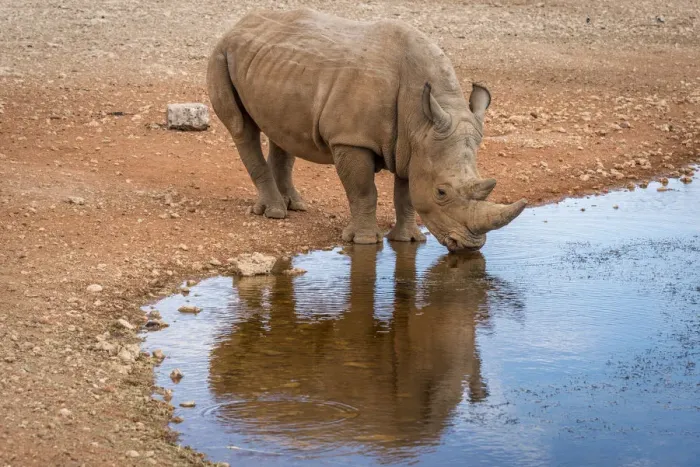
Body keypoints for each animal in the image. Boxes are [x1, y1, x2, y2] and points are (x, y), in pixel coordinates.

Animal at [207, 8, 527, 251]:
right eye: (441, 192)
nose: (470, 246)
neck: (420, 120)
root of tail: (236, 25)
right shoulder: (352, 140)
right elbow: (363, 191)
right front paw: (364, 242)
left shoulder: (412, 145)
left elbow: (405, 195)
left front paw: (409, 240)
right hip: (220, 53)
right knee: (241, 129)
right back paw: (275, 214)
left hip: (272, 64)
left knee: (281, 131)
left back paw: (294, 206)